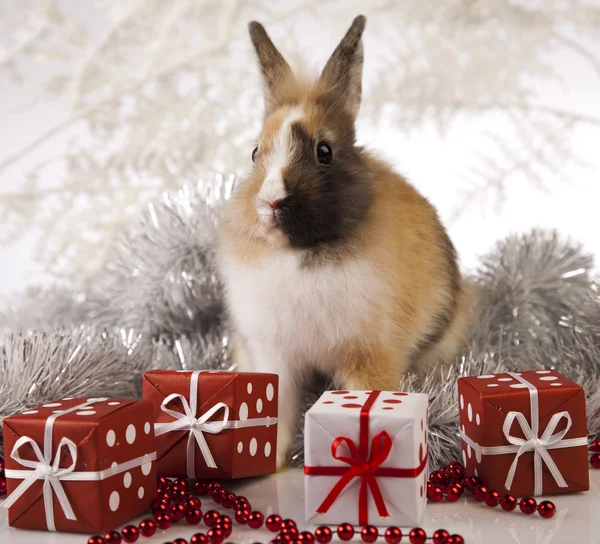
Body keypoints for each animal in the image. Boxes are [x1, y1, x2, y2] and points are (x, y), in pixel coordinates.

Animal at [213, 14, 476, 470]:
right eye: (254, 153)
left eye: (324, 151)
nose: (270, 202)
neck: (301, 254)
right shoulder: (274, 359)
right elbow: (278, 416)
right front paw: (270, 465)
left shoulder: (368, 356)